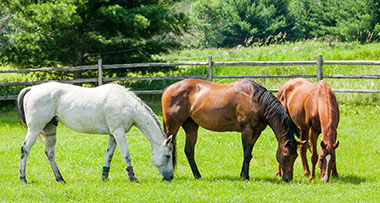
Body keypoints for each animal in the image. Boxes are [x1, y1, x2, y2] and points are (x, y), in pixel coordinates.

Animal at [16, 81, 174, 184]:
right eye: (168, 156)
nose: (170, 178)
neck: (127, 105)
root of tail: (32, 89)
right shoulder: (119, 132)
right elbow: (126, 155)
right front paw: (133, 178)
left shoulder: (113, 135)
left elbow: (109, 155)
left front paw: (104, 177)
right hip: (35, 128)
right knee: (25, 149)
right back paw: (23, 179)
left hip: (50, 127)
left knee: (49, 153)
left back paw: (60, 179)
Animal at [161, 78, 302, 182]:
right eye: (285, 156)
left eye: (295, 156)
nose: (288, 179)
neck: (256, 100)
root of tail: (168, 89)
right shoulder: (247, 130)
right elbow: (247, 154)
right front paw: (245, 176)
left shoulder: (256, 132)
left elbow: (249, 154)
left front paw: (243, 174)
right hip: (172, 126)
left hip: (191, 127)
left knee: (189, 151)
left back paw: (197, 175)